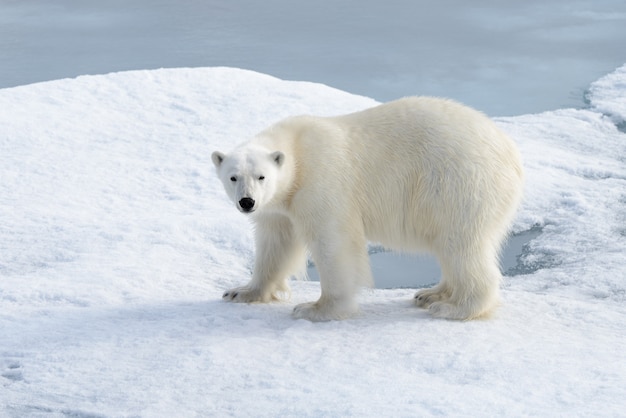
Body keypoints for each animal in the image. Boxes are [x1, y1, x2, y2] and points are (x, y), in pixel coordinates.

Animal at [211, 96, 520, 322]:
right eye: (233, 177)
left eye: (261, 176)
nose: (247, 202)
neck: (297, 153)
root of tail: (511, 153)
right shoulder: (280, 206)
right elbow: (276, 244)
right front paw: (242, 292)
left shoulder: (321, 181)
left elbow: (334, 242)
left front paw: (316, 309)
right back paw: (432, 294)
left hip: (458, 183)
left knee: (462, 243)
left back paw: (454, 308)